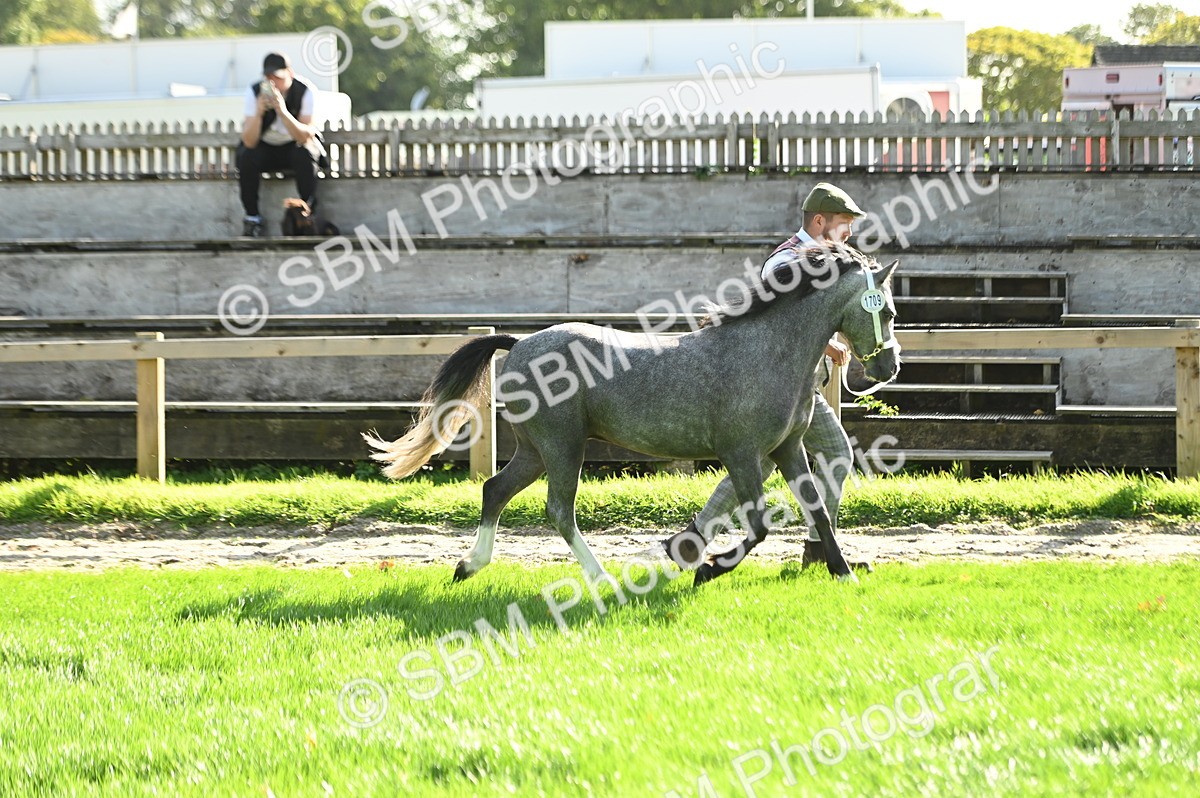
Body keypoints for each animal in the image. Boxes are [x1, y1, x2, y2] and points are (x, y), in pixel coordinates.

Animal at [364, 244, 901, 587]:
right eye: (890, 312)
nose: (889, 367)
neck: (766, 350)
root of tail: (518, 344)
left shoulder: (786, 449)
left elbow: (817, 510)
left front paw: (843, 572)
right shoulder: (742, 454)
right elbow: (760, 525)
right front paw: (708, 569)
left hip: (536, 450)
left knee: (494, 490)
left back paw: (468, 567)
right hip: (563, 447)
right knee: (557, 510)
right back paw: (601, 578)